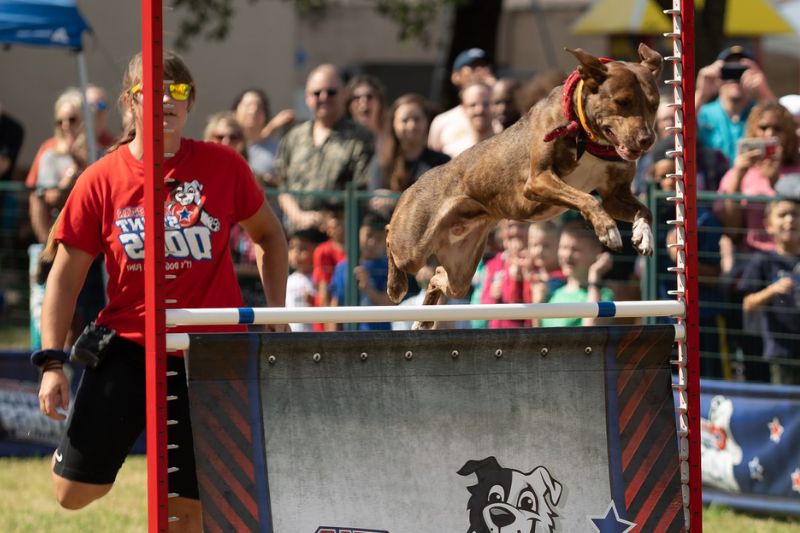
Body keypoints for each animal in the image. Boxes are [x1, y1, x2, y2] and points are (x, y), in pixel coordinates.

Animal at [386, 43, 664, 326]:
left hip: (461, 265)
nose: (647, 140)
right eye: (622, 102)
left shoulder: (614, 195)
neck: (587, 135)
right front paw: (608, 230)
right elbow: (586, 199)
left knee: (440, 277)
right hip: (413, 245)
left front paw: (644, 236)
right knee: (390, 239)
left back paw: (424, 318)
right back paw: (396, 285)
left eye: (654, 105)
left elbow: (645, 210)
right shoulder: (538, 181)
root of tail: (412, 185)